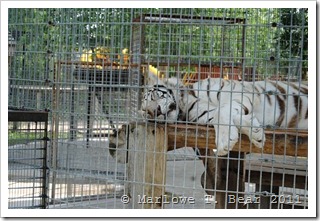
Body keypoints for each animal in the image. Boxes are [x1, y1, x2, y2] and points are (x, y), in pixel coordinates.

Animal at [141, 71, 308, 155]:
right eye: (145, 112)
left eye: (154, 96)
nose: (154, 111)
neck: (186, 103)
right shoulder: (207, 113)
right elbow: (227, 116)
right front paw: (255, 131)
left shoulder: (239, 93)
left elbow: (223, 110)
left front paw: (224, 141)